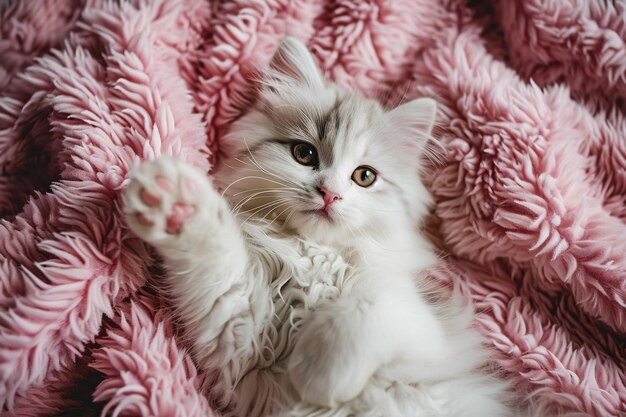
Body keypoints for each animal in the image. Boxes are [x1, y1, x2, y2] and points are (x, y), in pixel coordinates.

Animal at [124, 36, 510, 416]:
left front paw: (316, 377)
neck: (313, 255)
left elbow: (367, 306)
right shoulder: (238, 333)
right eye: (305, 154)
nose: (330, 194)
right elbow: (217, 253)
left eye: (364, 176)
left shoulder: (425, 328)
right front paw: (174, 200)